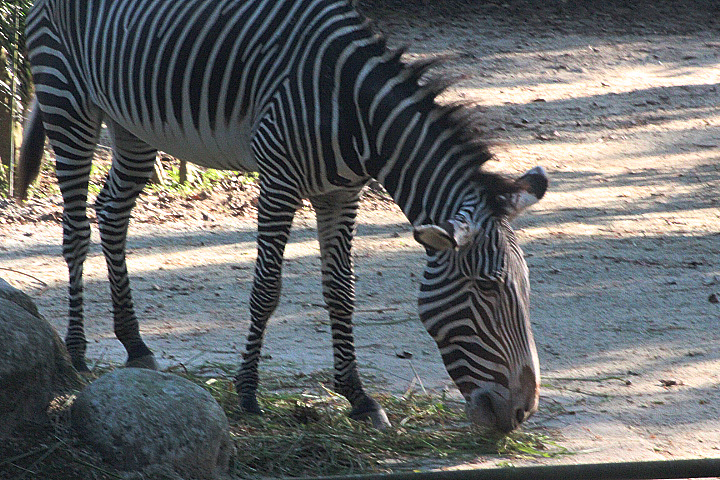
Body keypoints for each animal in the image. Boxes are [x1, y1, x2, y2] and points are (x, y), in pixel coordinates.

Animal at [17, 0, 548, 432]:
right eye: (487, 288)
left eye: (526, 288)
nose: (522, 412)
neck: (352, 108)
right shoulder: (278, 183)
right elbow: (267, 291)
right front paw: (248, 391)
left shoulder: (341, 194)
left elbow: (341, 292)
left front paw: (358, 397)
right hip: (68, 102)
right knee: (76, 228)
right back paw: (77, 350)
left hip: (133, 125)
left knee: (112, 214)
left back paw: (135, 344)